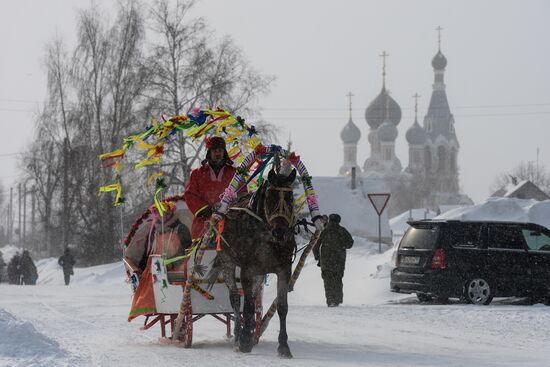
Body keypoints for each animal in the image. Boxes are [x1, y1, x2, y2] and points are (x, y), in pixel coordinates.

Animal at [207, 165, 300, 358]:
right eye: (271, 197)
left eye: (289, 199)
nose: (280, 233)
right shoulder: (247, 270)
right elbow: (247, 306)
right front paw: (244, 341)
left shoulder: (283, 270)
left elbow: (282, 307)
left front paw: (283, 346)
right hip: (228, 263)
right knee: (235, 298)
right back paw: (238, 336)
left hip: (259, 273)